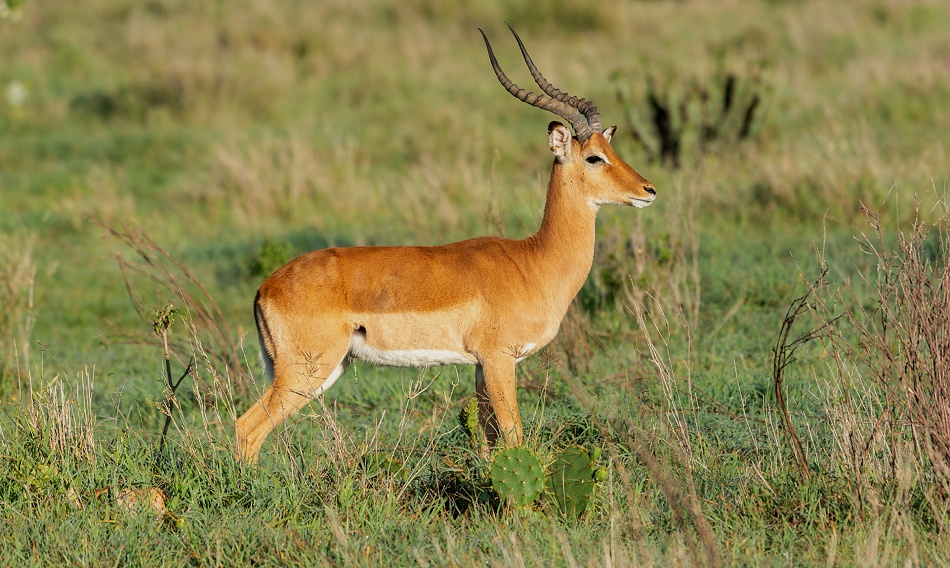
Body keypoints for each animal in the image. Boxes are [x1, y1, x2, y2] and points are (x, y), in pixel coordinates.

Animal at [235, 26, 656, 461]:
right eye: (593, 158)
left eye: (611, 149)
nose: (649, 190)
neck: (533, 261)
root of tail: (266, 287)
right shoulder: (499, 358)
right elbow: (514, 436)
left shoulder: (481, 366)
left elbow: (490, 442)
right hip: (306, 371)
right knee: (247, 427)